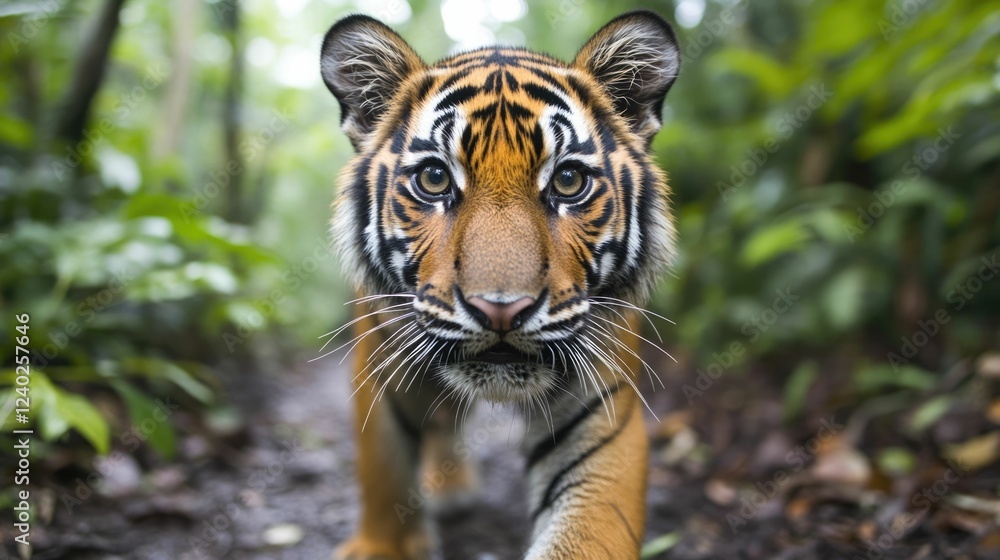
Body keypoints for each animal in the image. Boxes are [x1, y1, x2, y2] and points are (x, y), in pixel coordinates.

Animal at [319, 10, 680, 560]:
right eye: (434, 179)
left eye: (569, 181)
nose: (501, 309)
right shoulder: (380, 367)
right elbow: (384, 468)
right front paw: (386, 544)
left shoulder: (602, 413)